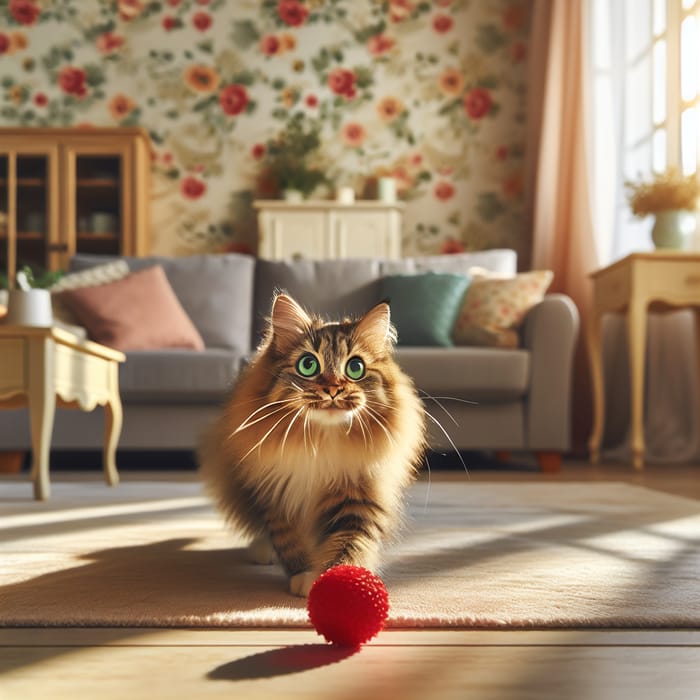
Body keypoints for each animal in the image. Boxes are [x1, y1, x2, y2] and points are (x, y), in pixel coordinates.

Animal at [198, 292, 426, 596]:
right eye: (308, 365)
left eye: (355, 368)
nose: (333, 388)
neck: (320, 441)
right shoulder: (276, 494)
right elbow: (289, 541)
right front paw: (304, 576)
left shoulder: (358, 495)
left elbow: (350, 544)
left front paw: (338, 582)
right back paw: (261, 551)